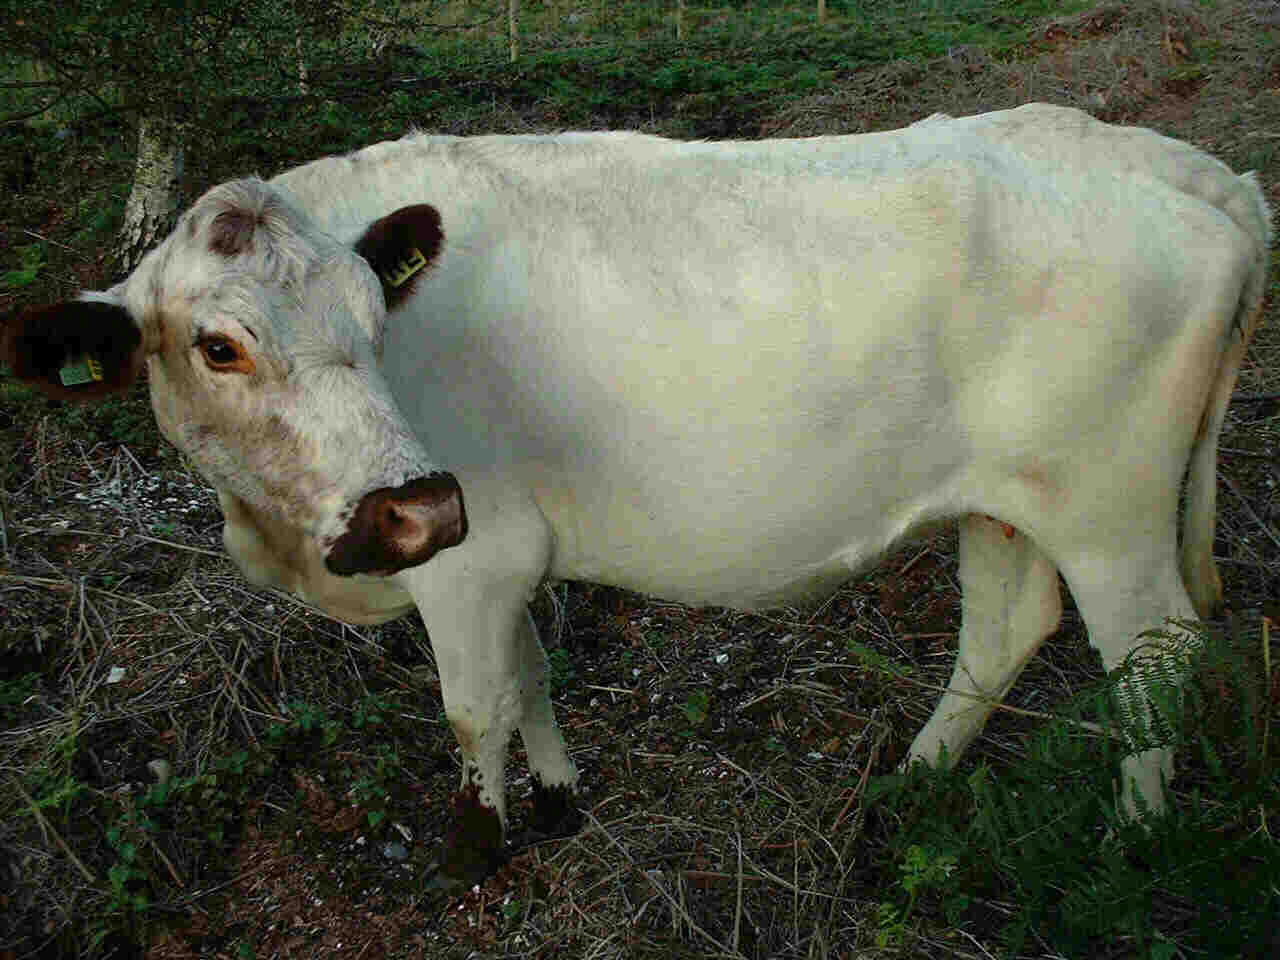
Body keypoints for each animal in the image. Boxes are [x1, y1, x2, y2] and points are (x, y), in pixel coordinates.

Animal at [5, 103, 1269, 880]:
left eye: (374, 318)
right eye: (218, 346)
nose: (407, 507)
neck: (274, 531)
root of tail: (1182, 164)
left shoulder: (467, 556)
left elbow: (475, 705)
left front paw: (478, 845)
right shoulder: (499, 548)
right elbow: (529, 670)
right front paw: (561, 798)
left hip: (1108, 509)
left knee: (1151, 654)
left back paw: (1128, 840)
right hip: (1005, 498)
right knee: (1006, 628)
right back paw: (905, 791)